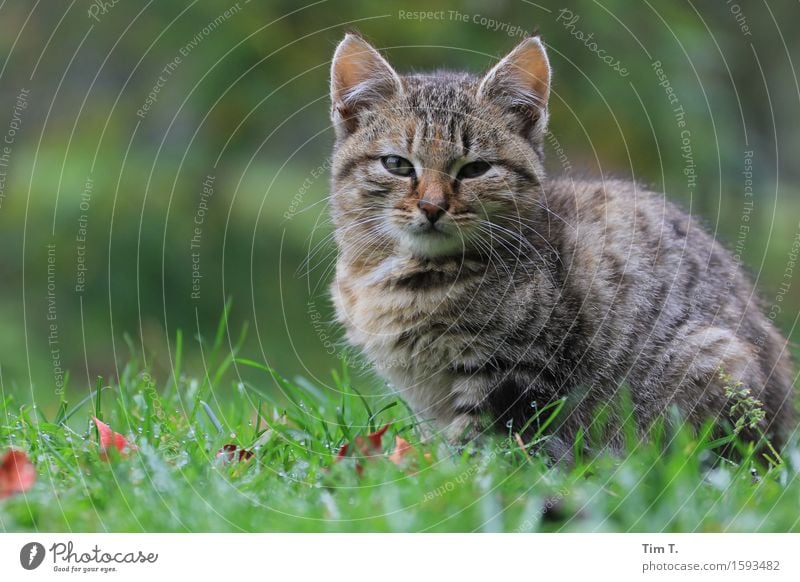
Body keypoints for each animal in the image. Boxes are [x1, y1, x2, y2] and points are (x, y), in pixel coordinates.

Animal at [324, 33, 792, 460]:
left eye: (475, 169)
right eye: (397, 165)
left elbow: (481, 441)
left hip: (713, 359)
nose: (432, 206)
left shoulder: (517, 367)